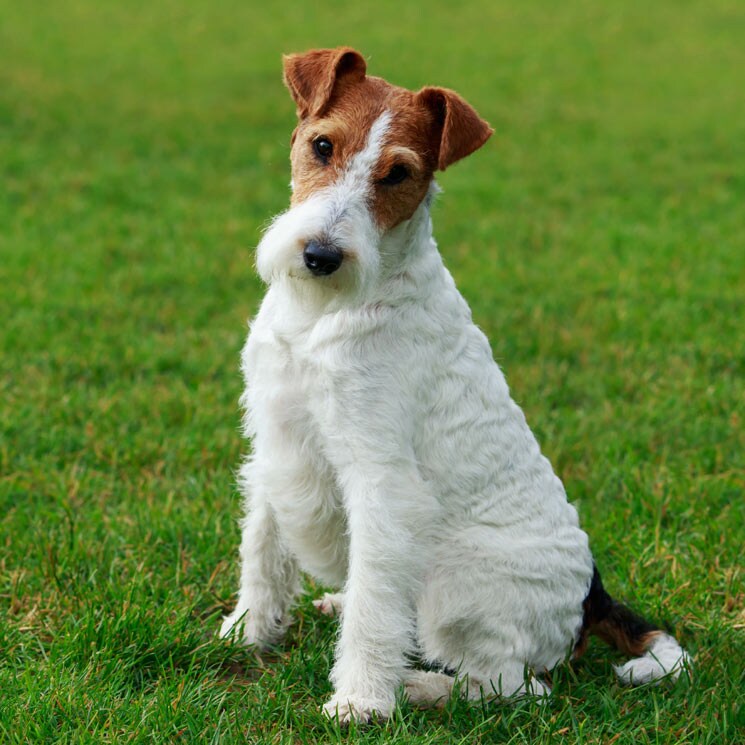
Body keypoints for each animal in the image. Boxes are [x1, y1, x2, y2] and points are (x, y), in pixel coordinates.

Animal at [219, 46, 692, 720]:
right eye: (321, 145)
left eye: (398, 173)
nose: (320, 257)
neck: (322, 312)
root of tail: (591, 597)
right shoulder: (274, 435)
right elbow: (261, 552)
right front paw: (246, 633)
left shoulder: (380, 479)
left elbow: (374, 610)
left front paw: (360, 701)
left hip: (454, 583)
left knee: (509, 686)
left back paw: (414, 686)